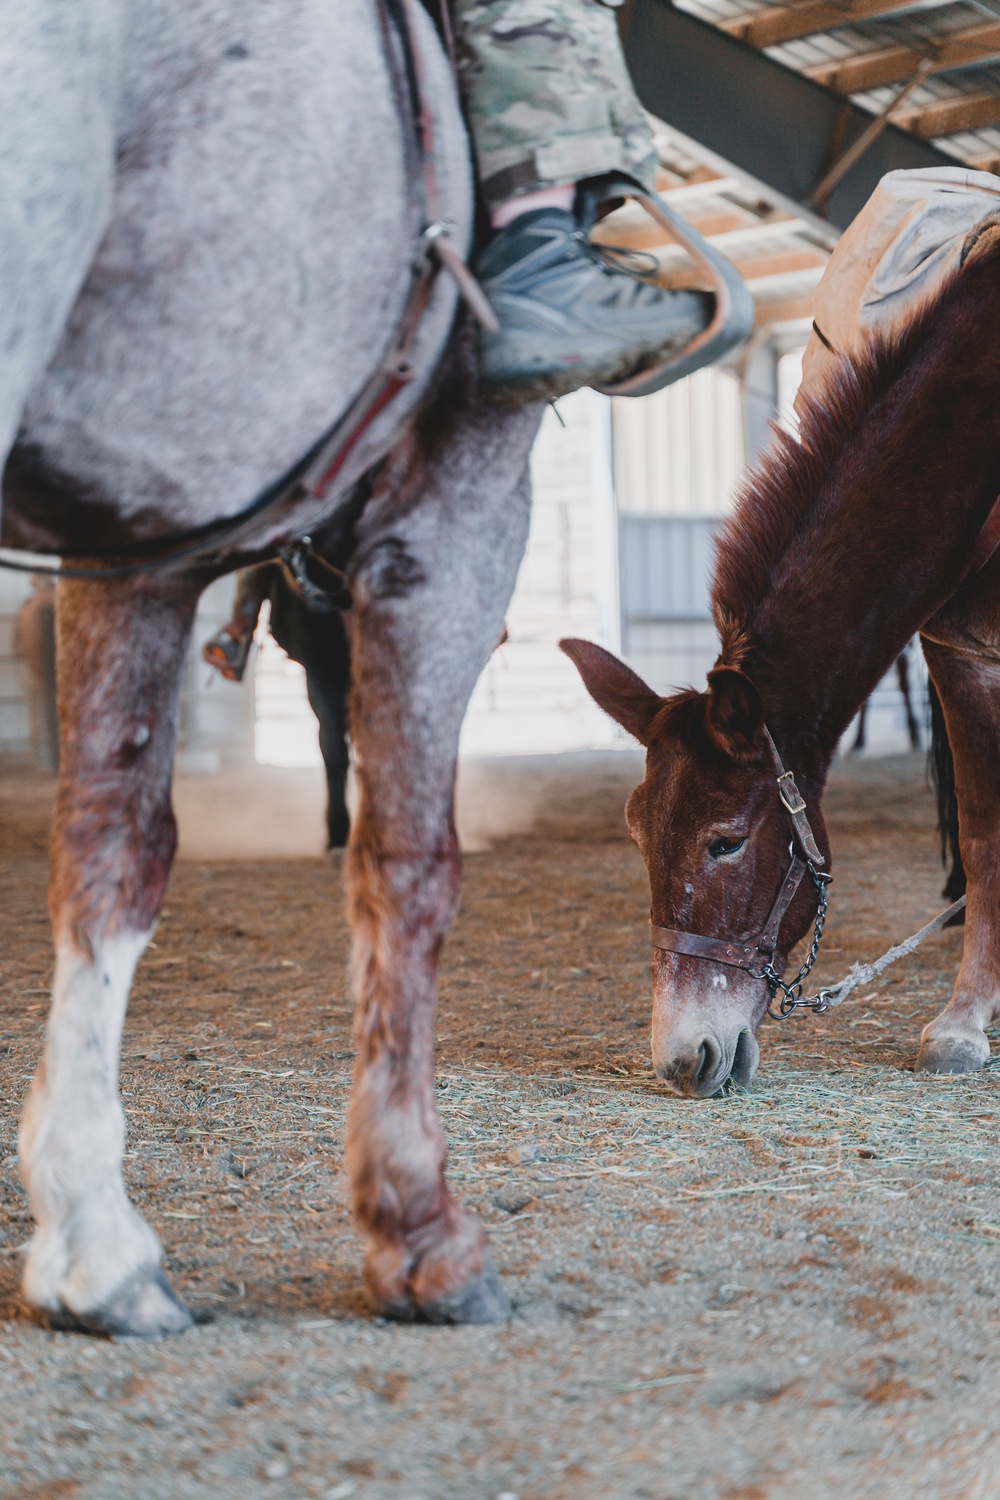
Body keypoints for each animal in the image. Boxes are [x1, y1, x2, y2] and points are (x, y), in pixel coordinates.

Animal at [5, 0, 539, 1338]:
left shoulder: (135, 536)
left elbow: (113, 852)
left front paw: (95, 1244)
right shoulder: (454, 518)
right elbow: (409, 865)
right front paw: (418, 1226)